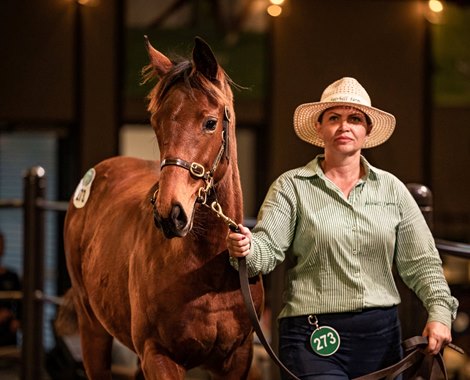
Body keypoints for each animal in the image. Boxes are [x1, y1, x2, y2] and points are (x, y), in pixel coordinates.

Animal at [56, 36, 264, 380]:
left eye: (210, 123)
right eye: (156, 123)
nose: (171, 214)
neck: (206, 267)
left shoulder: (237, 359)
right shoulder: (159, 355)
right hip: (93, 329)